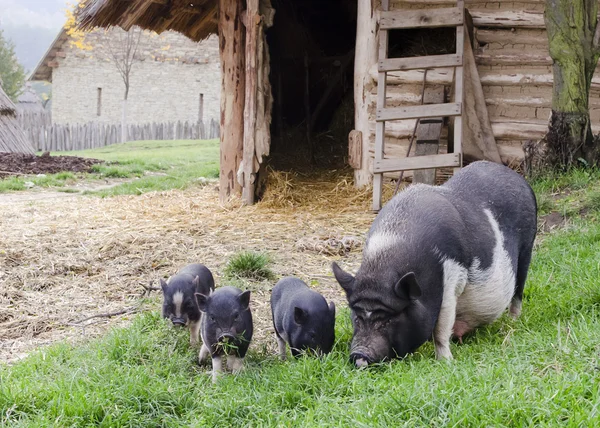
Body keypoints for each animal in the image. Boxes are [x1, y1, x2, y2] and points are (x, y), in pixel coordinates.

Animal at [330, 161, 536, 368]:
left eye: (389, 319)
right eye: (357, 317)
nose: (359, 355)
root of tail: (518, 179)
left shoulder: (450, 277)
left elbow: (441, 326)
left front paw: (445, 361)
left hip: (527, 247)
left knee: (518, 290)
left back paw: (512, 322)